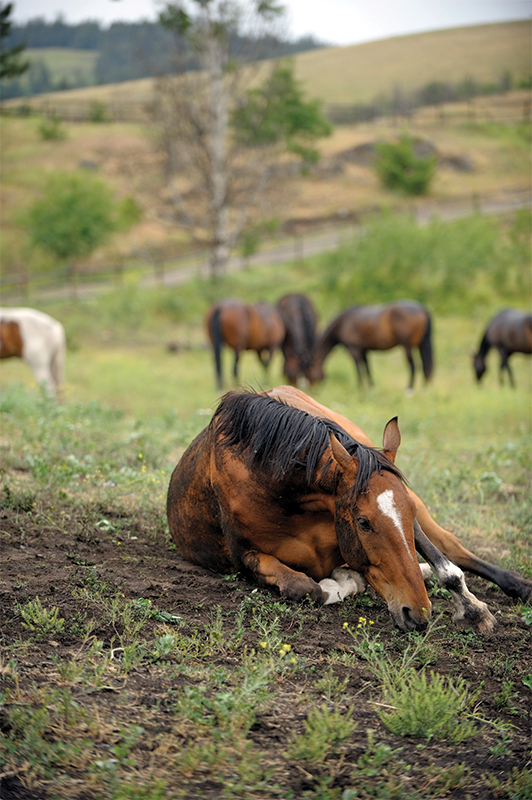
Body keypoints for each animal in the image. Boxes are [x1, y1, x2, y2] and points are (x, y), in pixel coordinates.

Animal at [166, 388, 528, 632]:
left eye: (407, 516)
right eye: (364, 522)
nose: (418, 613)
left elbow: (442, 562)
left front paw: (473, 609)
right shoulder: (244, 556)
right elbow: (306, 588)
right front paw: (338, 581)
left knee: (450, 547)